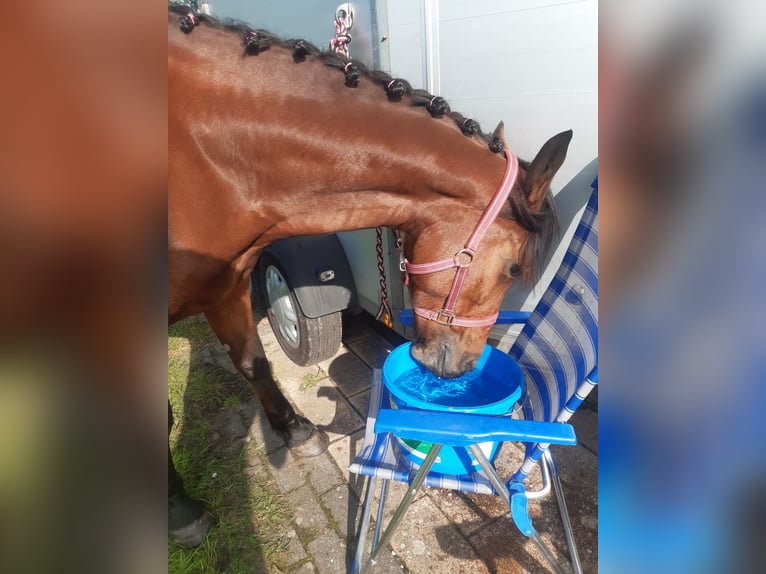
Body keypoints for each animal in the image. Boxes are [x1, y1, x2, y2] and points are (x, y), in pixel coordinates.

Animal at [168, 7, 571, 546]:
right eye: (511, 268)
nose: (465, 366)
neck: (212, 155)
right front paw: (181, 510)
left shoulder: (228, 283)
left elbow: (254, 363)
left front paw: (296, 431)